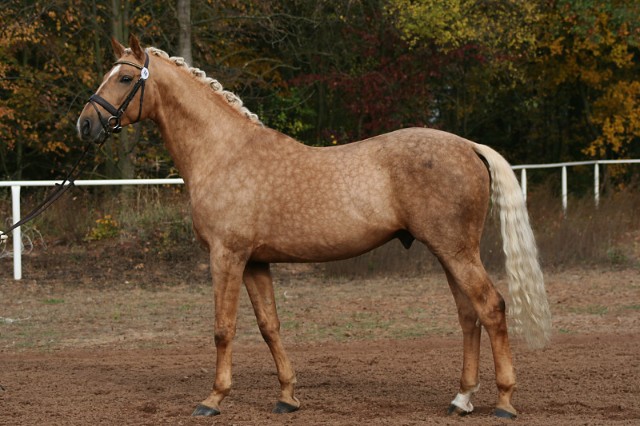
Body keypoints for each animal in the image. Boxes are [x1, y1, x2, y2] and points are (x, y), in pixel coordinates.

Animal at [77, 35, 551, 419]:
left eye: (124, 78)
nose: (85, 124)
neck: (223, 152)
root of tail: (468, 146)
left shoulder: (226, 255)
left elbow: (223, 328)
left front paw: (212, 399)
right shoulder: (256, 263)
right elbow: (269, 326)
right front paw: (287, 397)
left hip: (455, 250)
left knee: (492, 308)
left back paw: (504, 402)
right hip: (449, 252)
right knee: (469, 316)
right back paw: (461, 399)